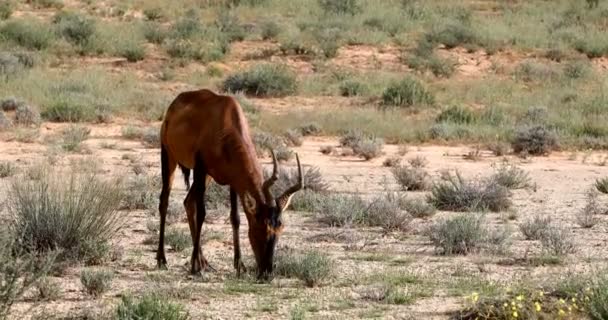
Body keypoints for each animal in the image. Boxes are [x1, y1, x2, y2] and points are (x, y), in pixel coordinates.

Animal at [157, 88, 304, 280]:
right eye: (261, 227)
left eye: (279, 229)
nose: (266, 273)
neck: (225, 118)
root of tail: (174, 104)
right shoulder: (200, 167)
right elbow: (202, 213)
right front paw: (195, 267)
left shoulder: (234, 180)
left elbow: (235, 218)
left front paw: (239, 266)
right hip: (169, 157)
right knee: (165, 201)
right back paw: (163, 260)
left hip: (206, 177)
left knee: (188, 202)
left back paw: (204, 262)